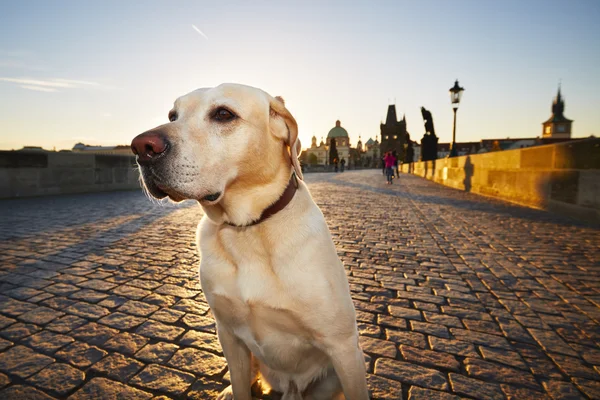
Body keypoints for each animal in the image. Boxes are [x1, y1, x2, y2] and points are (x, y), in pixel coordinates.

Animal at [131, 83, 368, 398]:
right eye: (172, 115)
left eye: (223, 114)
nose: (142, 147)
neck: (248, 229)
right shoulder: (229, 336)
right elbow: (241, 382)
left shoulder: (344, 348)